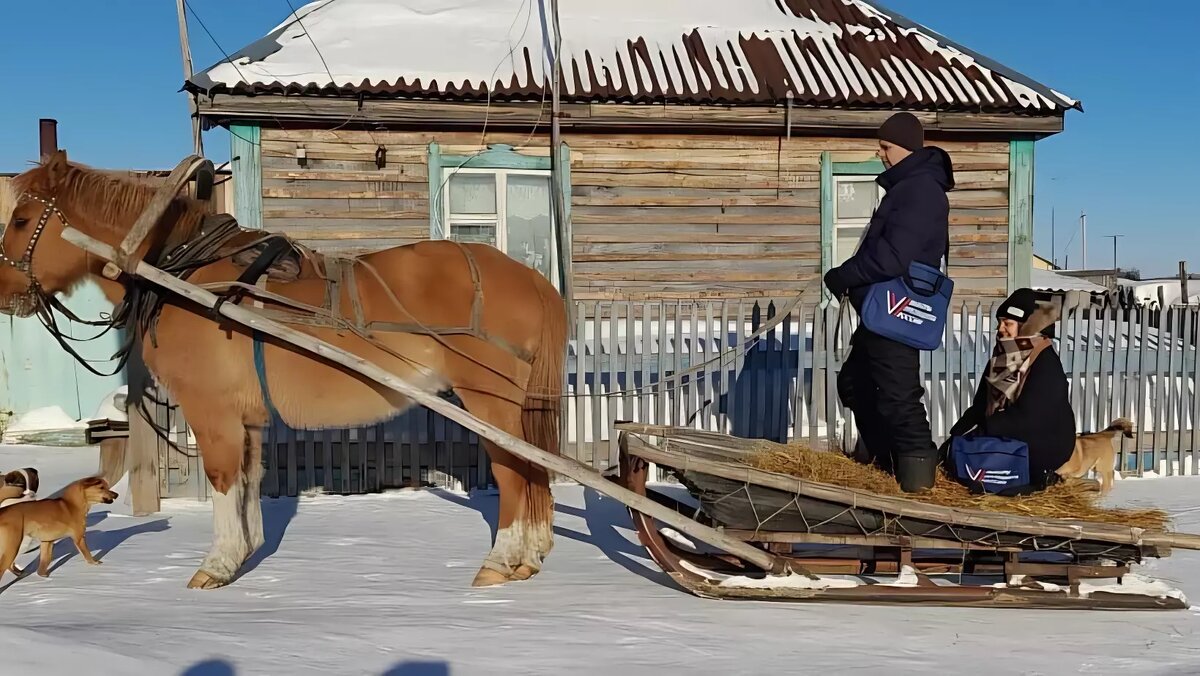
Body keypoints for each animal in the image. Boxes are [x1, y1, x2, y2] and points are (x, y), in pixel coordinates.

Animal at [0, 150, 568, 590]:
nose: (5, 294)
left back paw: (501, 563)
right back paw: (529, 557)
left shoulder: (213, 411)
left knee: (515, 473)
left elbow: (223, 480)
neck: (182, 273)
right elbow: (249, 482)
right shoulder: (247, 419)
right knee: (533, 473)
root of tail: (530, 277)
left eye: (22, 220)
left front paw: (216, 566)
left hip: (490, 402)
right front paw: (246, 553)